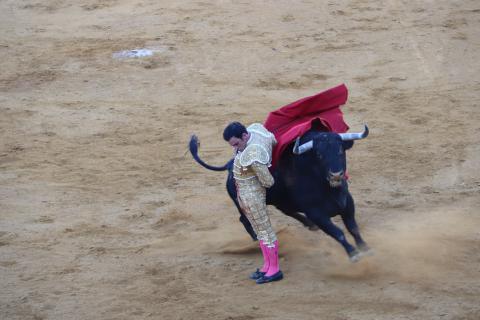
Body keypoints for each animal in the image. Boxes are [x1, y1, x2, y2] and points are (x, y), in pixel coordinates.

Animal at [188, 126, 372, 262]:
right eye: (319, 154)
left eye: (341, 150)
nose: (336, 175)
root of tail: (229, 166)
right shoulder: (317, 213)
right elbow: (338, 232)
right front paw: (354, 253)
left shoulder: (347, 203)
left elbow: (353, 228)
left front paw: (365, 247)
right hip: (244, 204)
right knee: (245, 220)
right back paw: (257, 241)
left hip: (280, 201)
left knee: (286, 211)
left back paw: (308, 224)